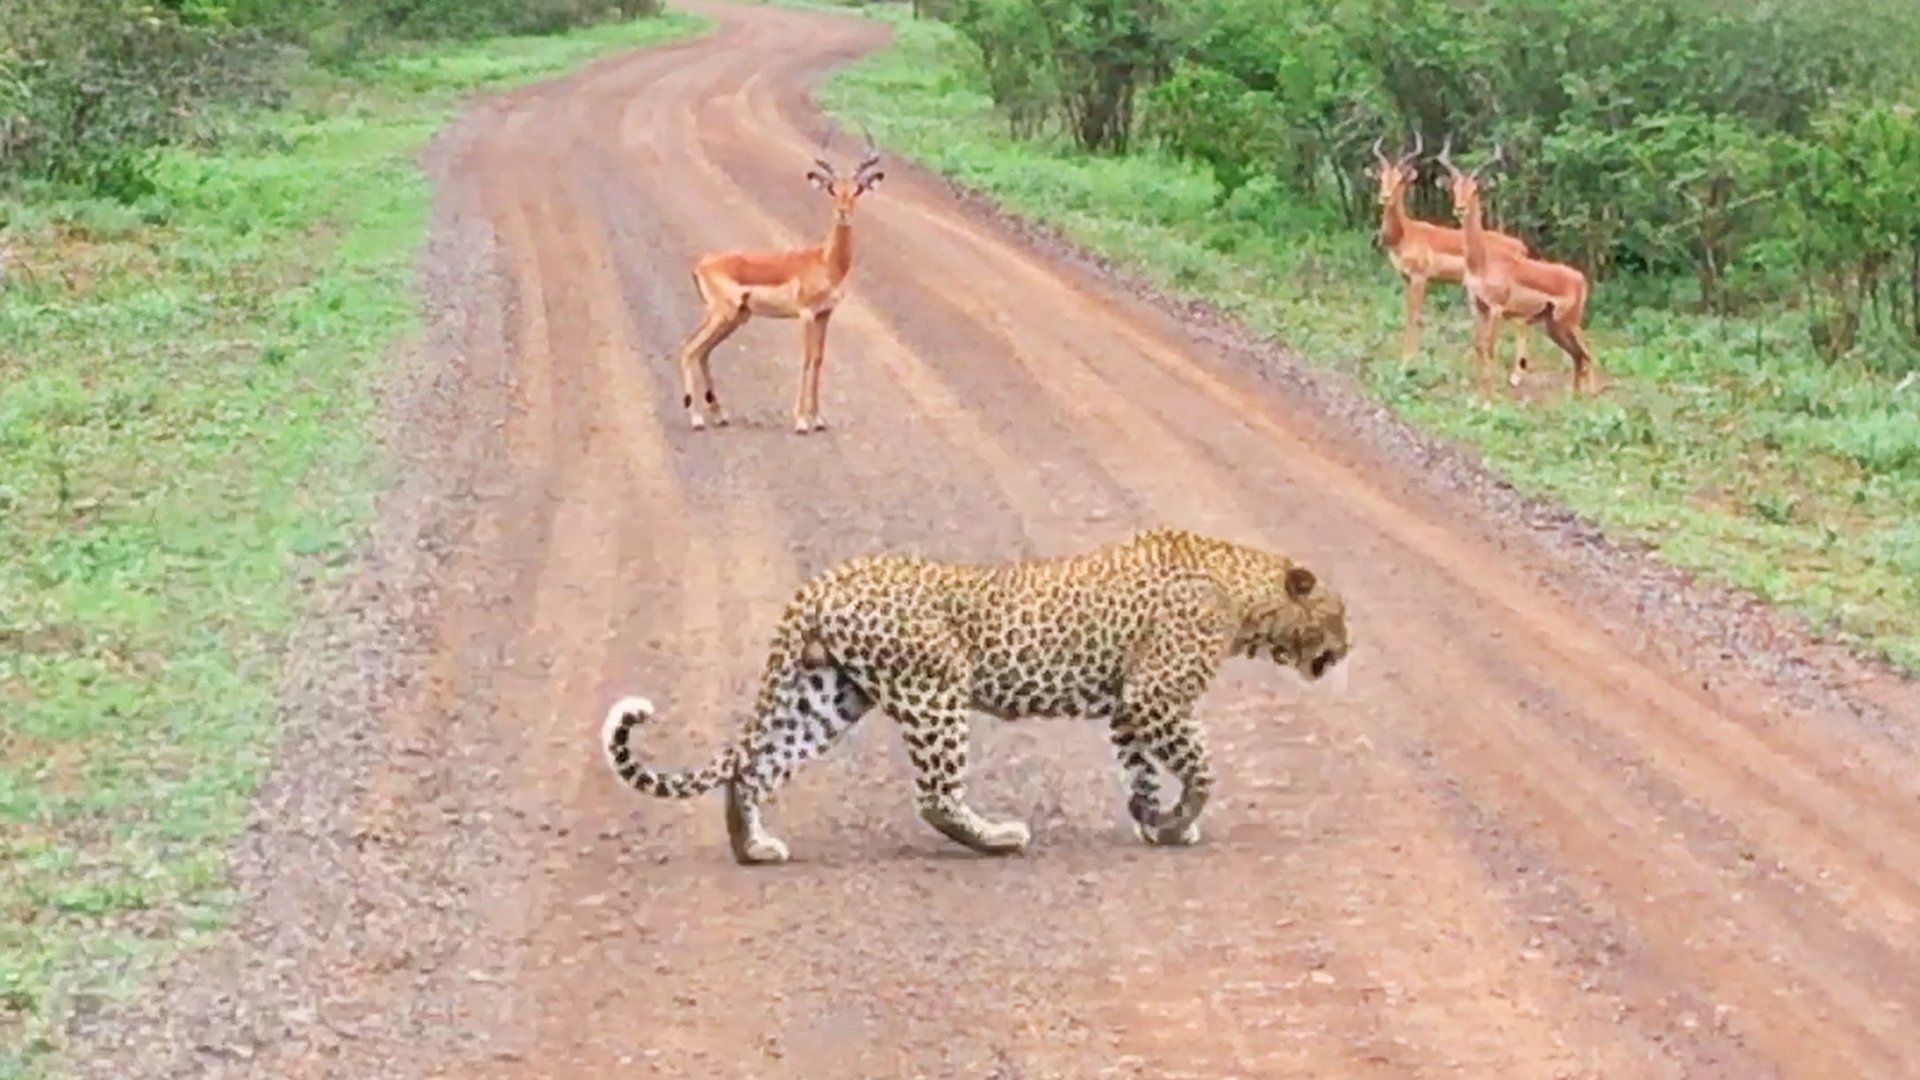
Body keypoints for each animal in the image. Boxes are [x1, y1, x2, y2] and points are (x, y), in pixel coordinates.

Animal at [599, 527, 1351, 865]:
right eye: (1338, 614)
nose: (1347, 649)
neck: (1244, 593)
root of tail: (821, 582)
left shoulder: (1128, 710)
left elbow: (1139, 772)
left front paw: (1154, 821)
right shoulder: (1154, 698)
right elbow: (1202, 765)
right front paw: (1181, 818)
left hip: (827, 694)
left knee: (754, 765)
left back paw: (752, 847)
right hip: (935, 690)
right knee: (935, 796)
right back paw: (998, 838)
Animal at [671, 132, 885, 434]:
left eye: (858, 189)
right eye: (832, 189)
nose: (843, 212)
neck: (825, 261)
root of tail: (701, 263)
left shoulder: (825, 314)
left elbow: (819, 359)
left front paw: (818, 419)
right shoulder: (806, 314)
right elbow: (806, 358)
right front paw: (801, 421)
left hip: (735, 317)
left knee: (701, 352)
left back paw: (720, 415)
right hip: (721, 313)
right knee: (688, 348)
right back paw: (697, 418)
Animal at [1372, 131, 1533, 374]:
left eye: (1400, 179)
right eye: (1382, 178)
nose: (1385, 197)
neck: (1408, 232)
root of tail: (1520, 246)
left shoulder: (1420, 278)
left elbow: (1414, 315)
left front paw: (1408, 360)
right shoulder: (1405, 278)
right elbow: (1407, 314)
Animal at [1436, 138, 1597, 396]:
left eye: (1475, 189)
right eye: (1455, 188)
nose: (1460, 208)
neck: (1482, 263)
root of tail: (1580, 279)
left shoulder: (1497, 309)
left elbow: (1489, 347)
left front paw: (1487, 396)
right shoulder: (1477, 307)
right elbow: (1478, 345)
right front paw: (1476, 392)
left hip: (1570, 322)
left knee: (1587, 353)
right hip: (1554, 326)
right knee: (1578, 356)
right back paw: (1573, 397)